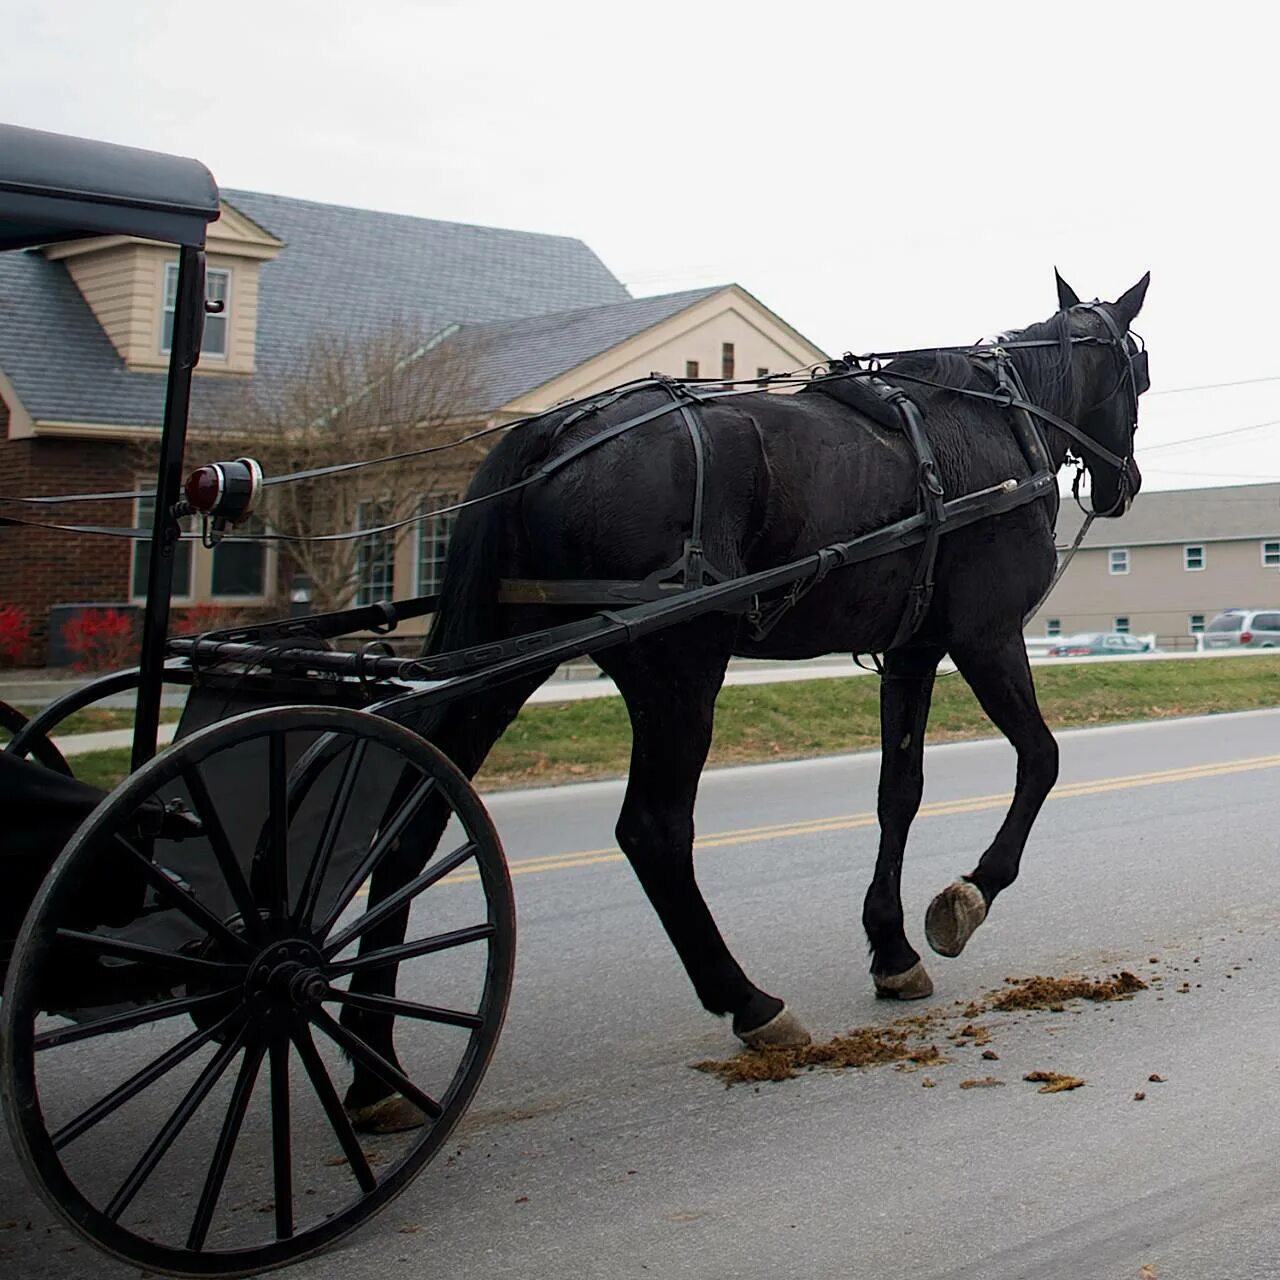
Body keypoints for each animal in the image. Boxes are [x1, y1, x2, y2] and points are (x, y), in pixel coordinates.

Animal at [340, 272, 1152, 1131]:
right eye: (1139, 375)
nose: (1124, 485)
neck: (999, 422)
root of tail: (558, 428)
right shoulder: (986, 635)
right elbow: (1041, 760)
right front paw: (967, 898)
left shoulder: (911, 652)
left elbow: (899, 794)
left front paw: (892, 949)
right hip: (679, 668)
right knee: (654, 832)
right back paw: (750, 1003)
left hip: (509, 656)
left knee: (412, 826)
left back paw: (373, 1063)